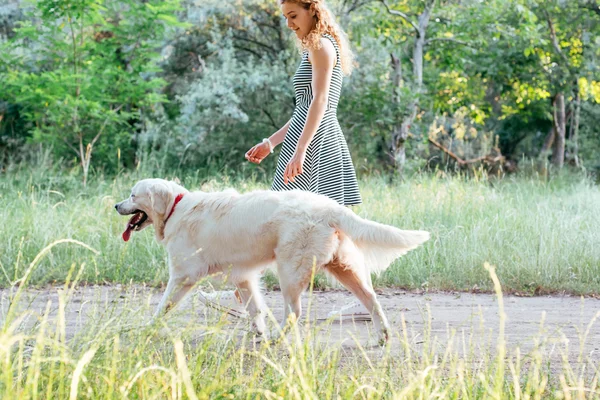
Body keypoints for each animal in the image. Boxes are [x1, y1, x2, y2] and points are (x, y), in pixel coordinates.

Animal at [113, 180, 432, 342]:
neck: (175, 208)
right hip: (343, 267)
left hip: (289, 270)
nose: (116, 205)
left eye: (132, 195)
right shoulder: (242, 275)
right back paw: (382, 335)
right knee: (371, 299)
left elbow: (163, 305)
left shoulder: (182, 275)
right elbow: (254, 307)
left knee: (294, 312)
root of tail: (330, 208)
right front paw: (257, 330)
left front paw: (146, 328)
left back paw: (278, 338)